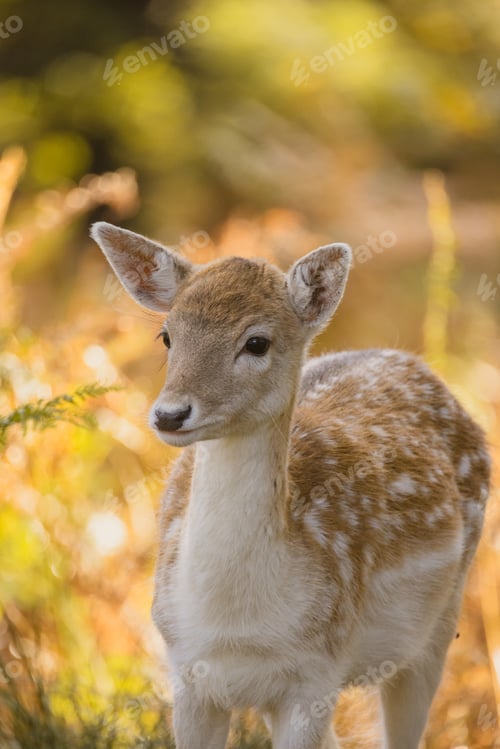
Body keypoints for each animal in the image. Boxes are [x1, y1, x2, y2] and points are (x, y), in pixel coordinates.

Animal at [91, 221, 491, 749]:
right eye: (167, 336)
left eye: (257, 342)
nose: (169, 414)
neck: (237, 624)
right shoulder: (187, 671)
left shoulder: (315, 671)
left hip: (439, 623)